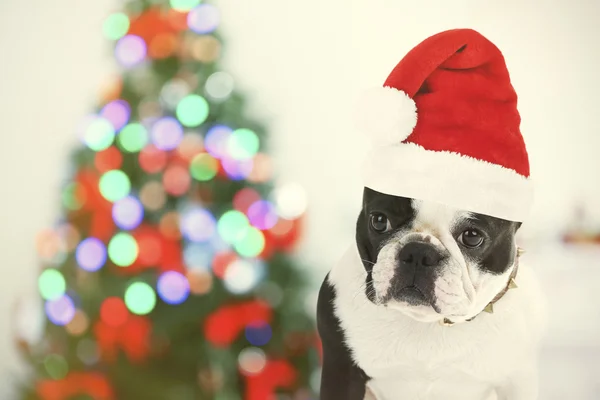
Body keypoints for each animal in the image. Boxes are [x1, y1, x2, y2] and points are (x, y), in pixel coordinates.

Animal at [318, 188, 548, 400]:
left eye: (472, 237)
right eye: (380, 221)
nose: (419, 252)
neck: (427, 321)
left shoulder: (518, 382)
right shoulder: (342, 372)